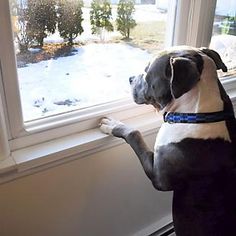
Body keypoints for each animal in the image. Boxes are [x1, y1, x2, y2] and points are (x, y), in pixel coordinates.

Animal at [99, 46, 236, 236]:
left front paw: (113, 125)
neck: (197, 114)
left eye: (147, 71)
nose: (130, 78)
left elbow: (134, 133)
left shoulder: (157, 176)